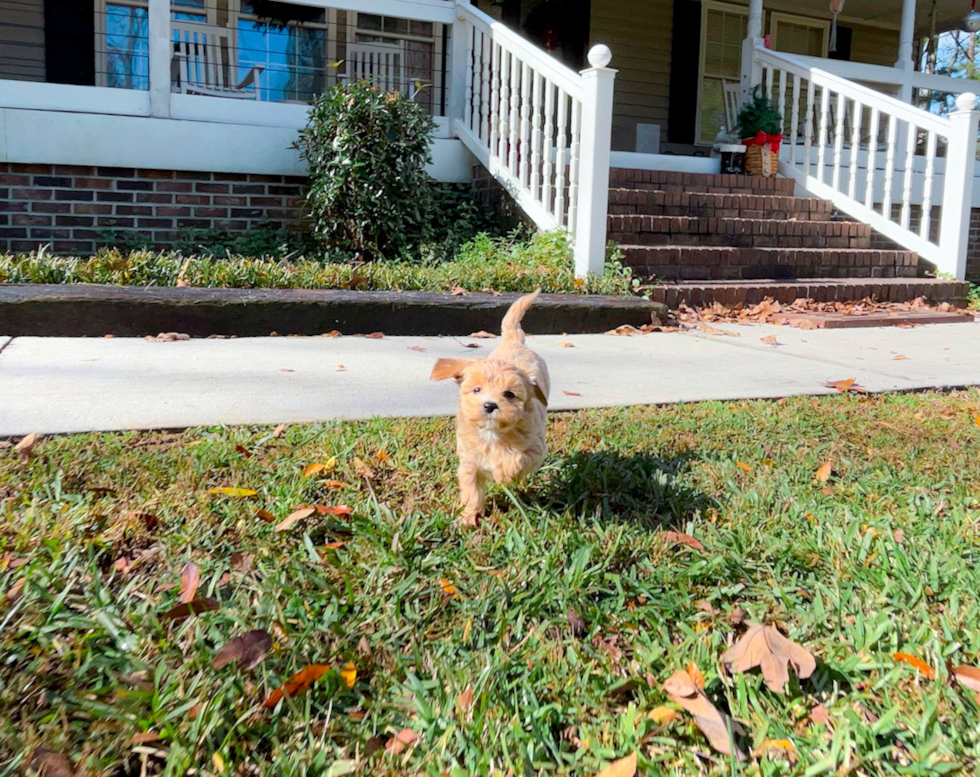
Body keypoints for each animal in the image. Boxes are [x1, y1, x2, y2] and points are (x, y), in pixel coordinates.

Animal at [430, 292, 552, 528]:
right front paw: (469, 518)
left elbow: (517, 459)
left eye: (509, 394)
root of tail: (514, 341)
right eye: (477, 389)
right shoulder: (469, 463)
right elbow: (472, 491)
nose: (490, 405)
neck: (491, 434)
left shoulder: (535, 449)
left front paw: (502, 474)